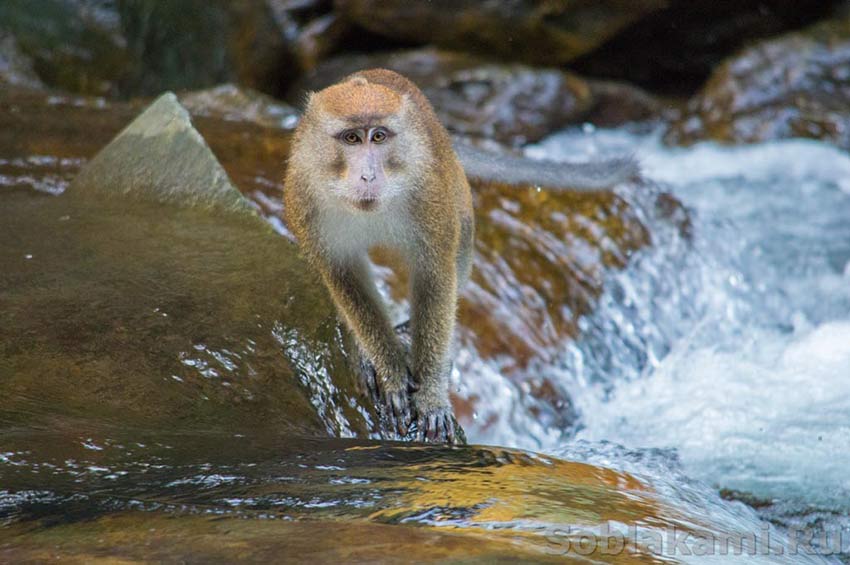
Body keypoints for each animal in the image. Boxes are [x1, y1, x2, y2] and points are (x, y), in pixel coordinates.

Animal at [284, 68, 636, 442]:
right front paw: (387, 368)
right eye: (351, 138)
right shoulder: (306, 202)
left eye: (378, 137)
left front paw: (431, 396)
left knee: (462, 240)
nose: (368, 175)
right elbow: (344, 277)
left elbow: (436, 276)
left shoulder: (429, 195)